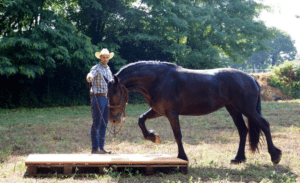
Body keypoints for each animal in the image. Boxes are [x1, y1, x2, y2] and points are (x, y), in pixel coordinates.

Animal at [107, 60, 282, 164]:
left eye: (115, 94)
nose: (113, 120)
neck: (159, 79)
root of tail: (252, 79)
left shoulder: (171, 113)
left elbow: (178, 135)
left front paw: (182, 157)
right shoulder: (159, 111)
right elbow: (141, 119)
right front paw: (152, 137)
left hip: (248, 109)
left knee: (265, 125)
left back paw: (275, 156)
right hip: (234, 109)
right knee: (243, 130)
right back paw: (239, 158)